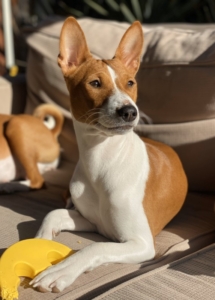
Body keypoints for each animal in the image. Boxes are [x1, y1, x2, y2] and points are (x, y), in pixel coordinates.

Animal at [30, 17, 188, 292]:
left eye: (130, 83)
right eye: (95, 83)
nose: (130, 112)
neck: (101, 162)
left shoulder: (141, 243)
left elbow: (95, 247)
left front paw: (61, 270)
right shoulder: (93, 222)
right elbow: (54, 213)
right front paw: (42, 239)